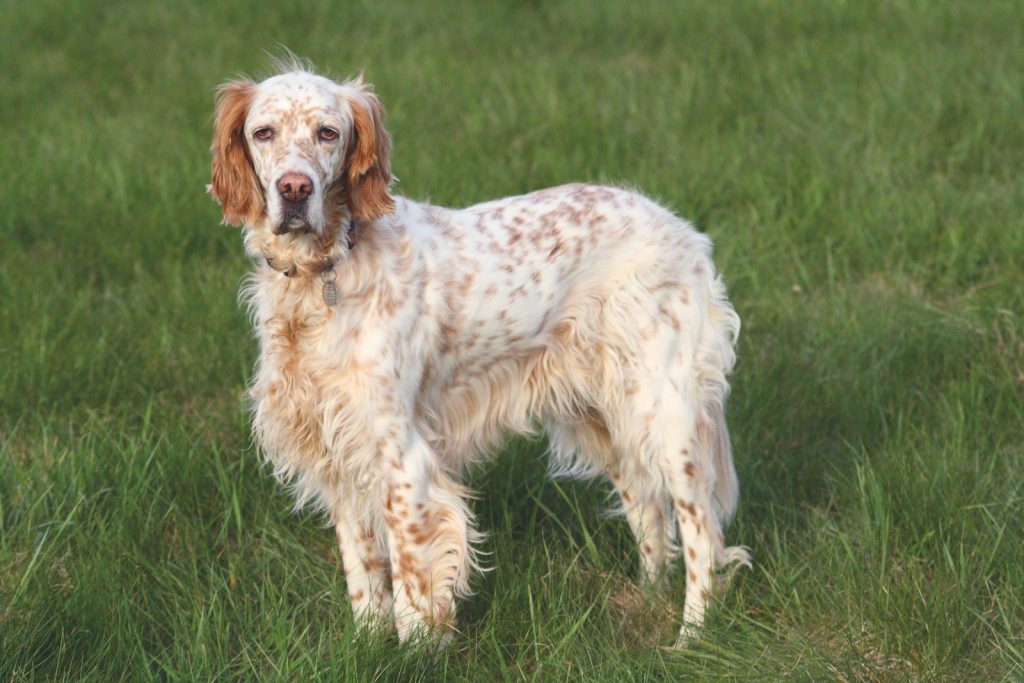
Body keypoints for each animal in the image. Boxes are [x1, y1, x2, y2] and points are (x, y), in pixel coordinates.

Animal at [209, 60, 753, 647]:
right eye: (264, 132)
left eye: (328, 133)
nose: (294, 188)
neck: (322, 276)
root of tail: (684, 231)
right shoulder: (337, 453)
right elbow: (364, 574)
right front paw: (368, 645)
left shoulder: (402, 460)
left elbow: (412, 582)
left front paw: (416, 651)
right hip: (606, 419)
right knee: (649, 511)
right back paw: (647, 600)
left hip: (668, 417)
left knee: (701, 532)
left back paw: (690, 636)